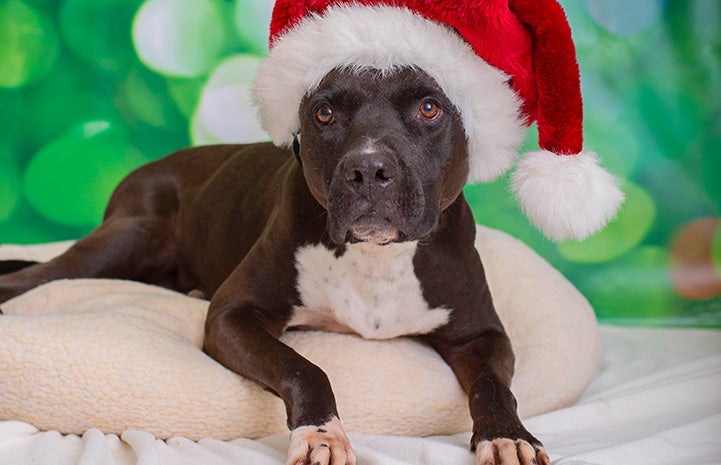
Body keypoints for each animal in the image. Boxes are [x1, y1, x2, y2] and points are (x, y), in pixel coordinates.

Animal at [1, 66, 552, 464]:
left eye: (430, 107)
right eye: (325, 112)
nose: (368, 169)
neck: (376, 256)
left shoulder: (481, 335)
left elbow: (493, 386)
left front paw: (508, 437)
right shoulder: (233, 315)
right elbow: (306, 368)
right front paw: (322, 435)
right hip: (130, 237)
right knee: (36, 275)